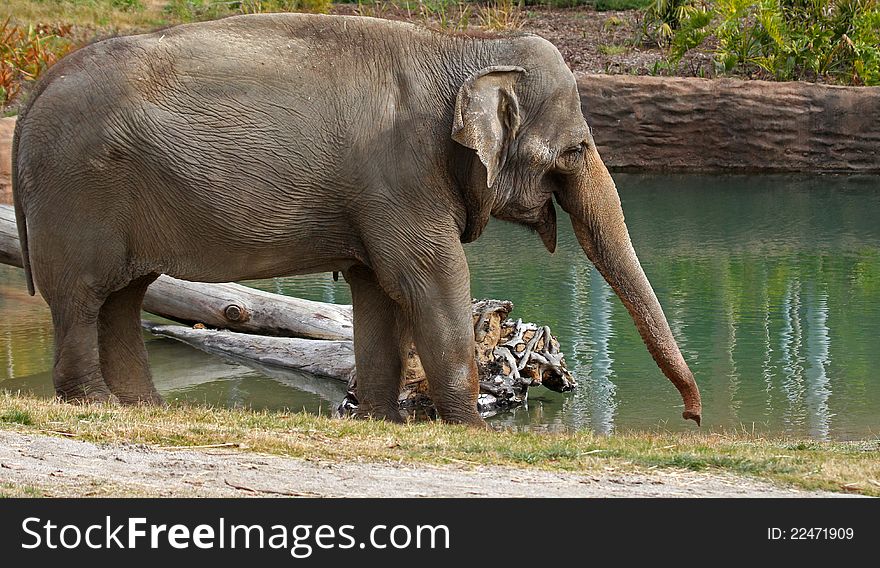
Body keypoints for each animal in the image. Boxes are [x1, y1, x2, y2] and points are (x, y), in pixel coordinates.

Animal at [12, 12, 700, 426]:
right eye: (577, 150)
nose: (693, 417)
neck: (461, 51)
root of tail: (34, 93)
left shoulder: (381, 194)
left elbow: (376, 290)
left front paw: (377, 417)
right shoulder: (400, 174)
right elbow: (430, 278)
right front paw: (474, 426)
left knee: (122, 298)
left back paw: (142, 409)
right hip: (78, 195)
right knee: (84, 297)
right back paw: (95, 404)